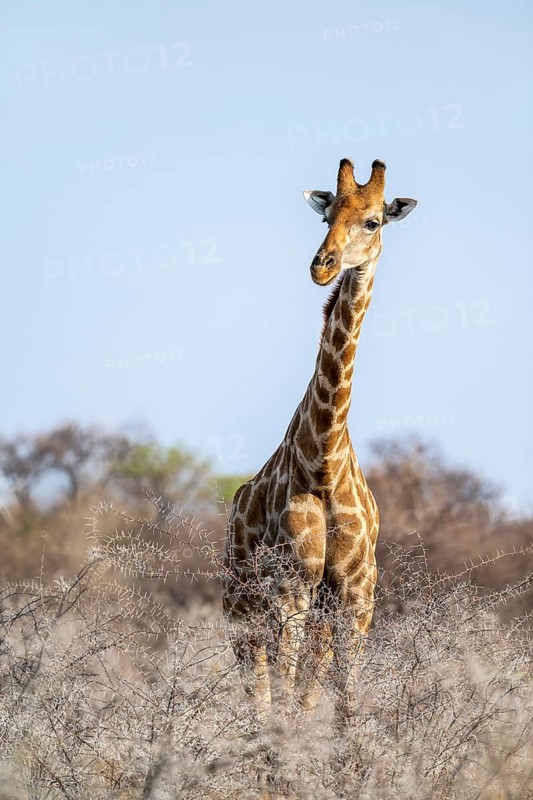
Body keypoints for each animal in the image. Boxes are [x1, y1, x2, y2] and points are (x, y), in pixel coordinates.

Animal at [223, 158, 417, 725]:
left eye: (374, 221)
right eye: (327, 215)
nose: (322, 267)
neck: (324, 461)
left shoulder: (356, 596)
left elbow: (343, 702)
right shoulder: (291, 586)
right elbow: (284, 697)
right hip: (240, 604)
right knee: (261, 693)